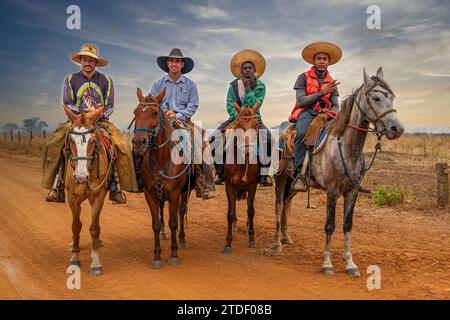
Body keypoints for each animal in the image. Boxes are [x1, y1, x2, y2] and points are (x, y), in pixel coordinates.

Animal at [63, 106, 111, 276]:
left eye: (93, 141)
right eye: (71, 140)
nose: (81, 177)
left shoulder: (98, 196)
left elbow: (94, 228)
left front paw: (95, 262)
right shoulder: (72, 197)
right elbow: (76, 226)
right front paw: (75, 258)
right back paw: (72, 243)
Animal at [130, 87, 193, 268]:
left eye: (155, 113)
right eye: (136, 112)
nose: (139, 142)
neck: (161, 159)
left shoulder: (175, 193)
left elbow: (174, 222)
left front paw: (173, 254)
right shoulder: (150, 193)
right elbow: (156, 223)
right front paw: (157, 256)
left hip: (185, 192)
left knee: (181, 212)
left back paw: (182, 239)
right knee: (162, 210)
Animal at [223, 102, 262, 252]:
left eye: (256, 124)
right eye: (238, 124)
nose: (248, 149)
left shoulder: (253, 186)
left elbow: (251, 211)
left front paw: (251, 238)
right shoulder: (229, 186)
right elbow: (230, 213)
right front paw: (228, 242)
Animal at [264, 66, 404, 276]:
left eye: (392, 98)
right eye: (376, 98)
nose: (397, 128)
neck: (346, 147)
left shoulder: (352, 192)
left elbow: (347, 226)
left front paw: (350, 263)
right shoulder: (332, 191)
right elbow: (330, 226)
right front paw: (327, 264)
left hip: (293, 183)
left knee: (287, 203)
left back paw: (286, 238)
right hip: (280, 178)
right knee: (279, 205)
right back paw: (277, 244)